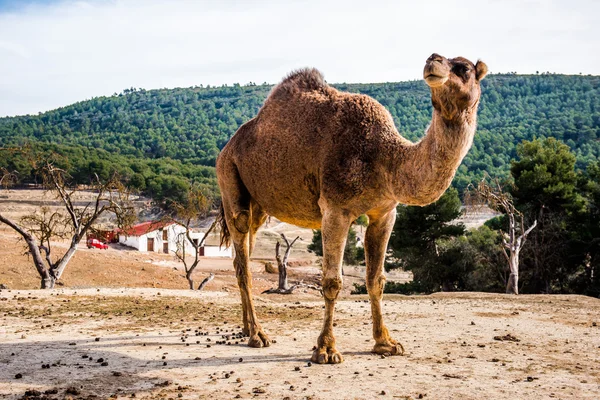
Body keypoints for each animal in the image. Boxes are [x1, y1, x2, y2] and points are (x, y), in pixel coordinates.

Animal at [216, 53, 488, 362]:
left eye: (464, 68)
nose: (433, 60)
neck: (384, 157)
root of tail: (228, 146)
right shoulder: (336, 209)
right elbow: (332, 281)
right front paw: (325, 350)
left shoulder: (385, 213)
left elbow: (376, 279)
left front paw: (387, 343)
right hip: (229, 176)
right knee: (242, 253)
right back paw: (258, 335)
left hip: (259, 204)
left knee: (243, 254)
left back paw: (247, 327)